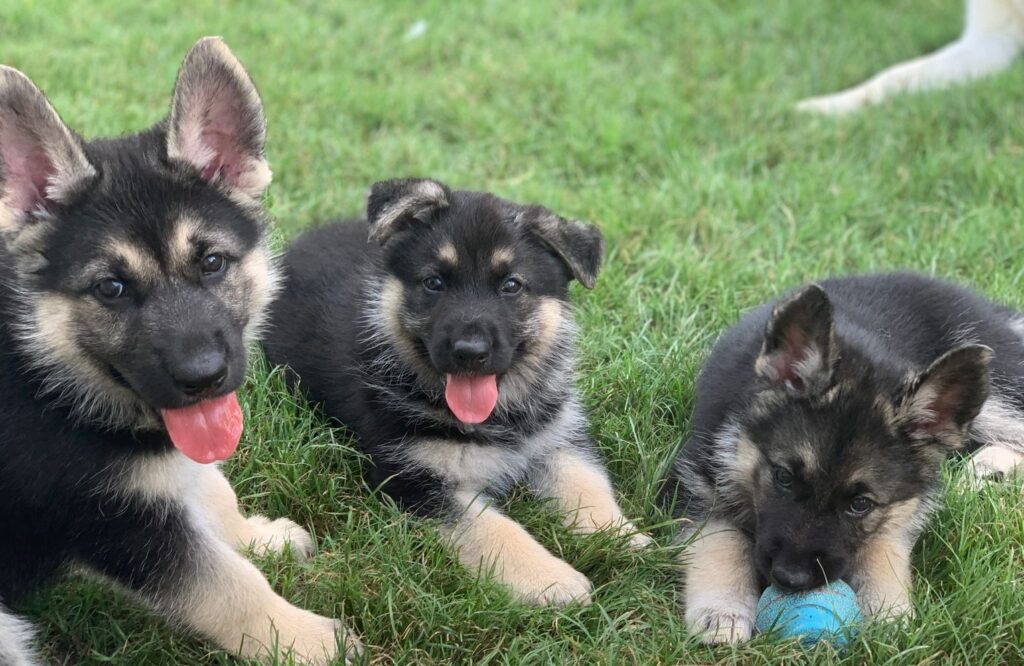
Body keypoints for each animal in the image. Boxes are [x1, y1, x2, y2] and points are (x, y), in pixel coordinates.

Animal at [0, 38, 357, 664]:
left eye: (211, 262)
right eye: (111, 289)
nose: (203, 377)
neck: (46, 370)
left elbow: (211, 491)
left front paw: (258, 538)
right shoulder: (112, 522)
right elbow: (228, 587)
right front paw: (305, 639)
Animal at [265, 178, 651, 606]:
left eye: (511, 286)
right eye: (434, 282)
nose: (469, 352)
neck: (500, 413)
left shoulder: (556, 437)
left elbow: (587, 482)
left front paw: (620, 536)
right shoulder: (417, 479)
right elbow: (494, 530)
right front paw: (553, 580)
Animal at [662, 272, 1024, 643]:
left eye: (860, 504)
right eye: (783, 477)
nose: (790, 578)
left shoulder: (904, 505)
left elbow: (883, 545)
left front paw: (888, 611)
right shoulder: (696, 479)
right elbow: (720, 540)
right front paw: (722, 611)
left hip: (999, 394)